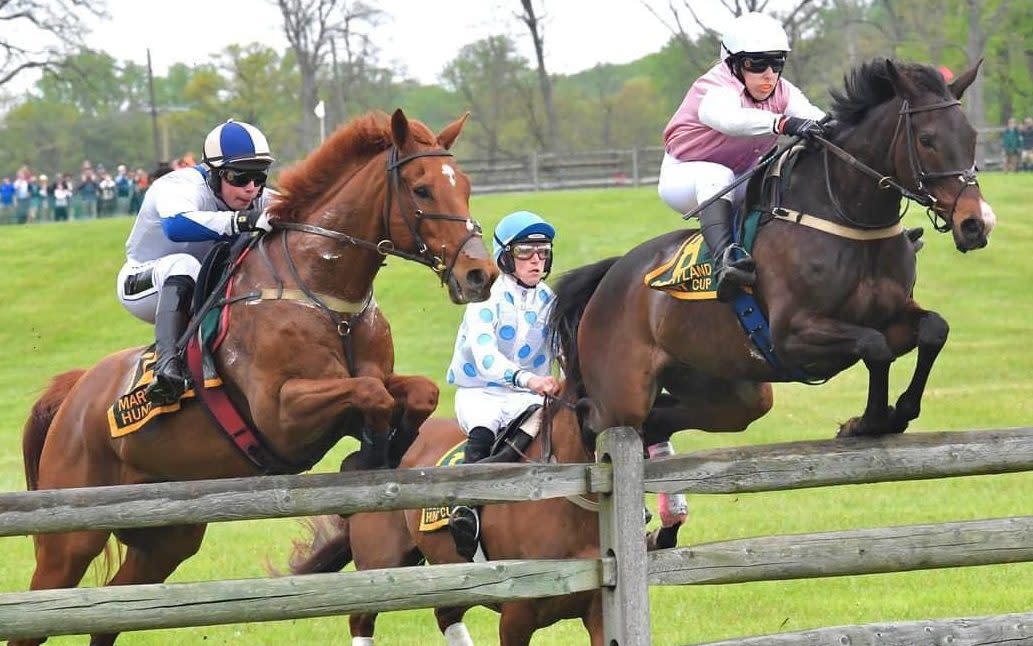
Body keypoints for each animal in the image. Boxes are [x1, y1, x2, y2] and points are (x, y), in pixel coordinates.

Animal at [15, 109, 499, 644]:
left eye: (465, 185)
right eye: (422, 189)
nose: (480, 274)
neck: (322, 293)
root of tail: (74, 394)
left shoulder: (358, 393)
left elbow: (415, 392)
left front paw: (388, 450)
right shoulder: (283, 414)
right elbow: (371, 394)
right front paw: (369, 457)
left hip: (166, 539)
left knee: (114, 612)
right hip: (71, 539)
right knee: (38, 612)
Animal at [553, 59, 995, 448]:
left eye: (972, 136)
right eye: (927, 139)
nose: (977, 223)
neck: (847, 219)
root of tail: (611, 277)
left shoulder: (893, 315)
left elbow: (934, 329)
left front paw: (896, 411)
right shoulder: (792, 333)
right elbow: (874, 346)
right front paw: (871, 420)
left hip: (729, 391)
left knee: (663, 418)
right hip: (621, 397)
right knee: (586, 419)